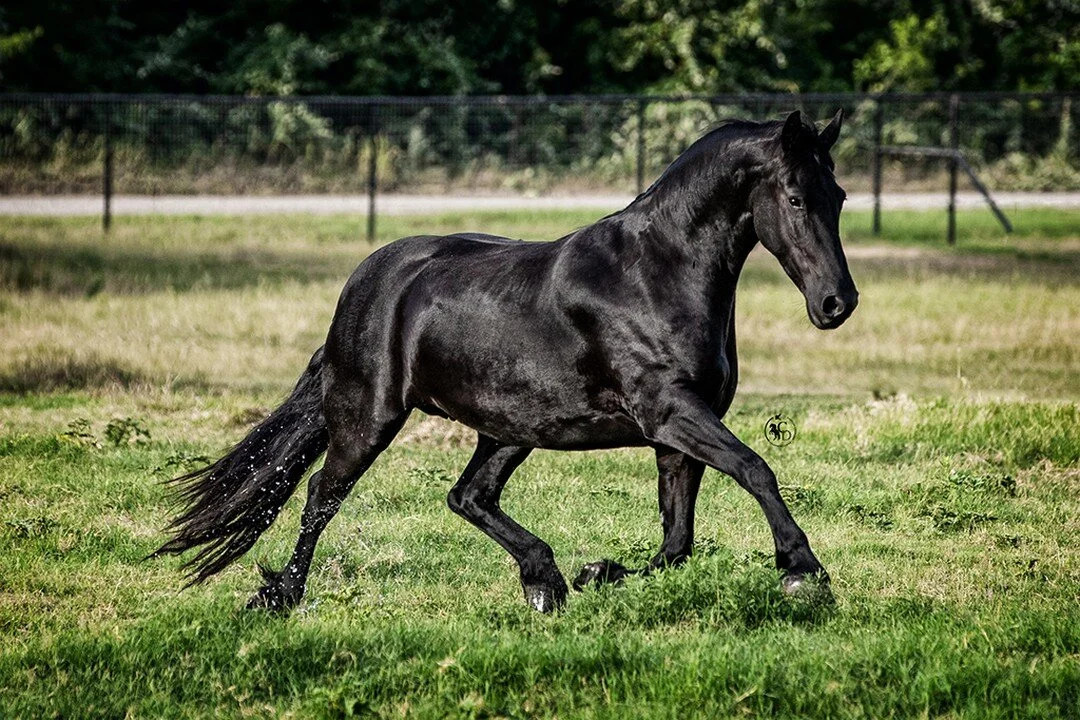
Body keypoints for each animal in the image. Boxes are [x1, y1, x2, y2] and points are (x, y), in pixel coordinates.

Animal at [153, 109, 858, 613]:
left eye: (842, 196)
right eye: (796, 198)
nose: (837, 303)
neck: (656, 274)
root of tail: (367, 280)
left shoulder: (677, 432)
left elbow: (677, 542)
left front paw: (600, 571)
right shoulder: (669, 412)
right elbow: (755, 468)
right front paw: (802, 570)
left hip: (510, 428)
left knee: (468, 496)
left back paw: (545, 580)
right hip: (368, 417)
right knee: (321, 497)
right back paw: (281, 596)